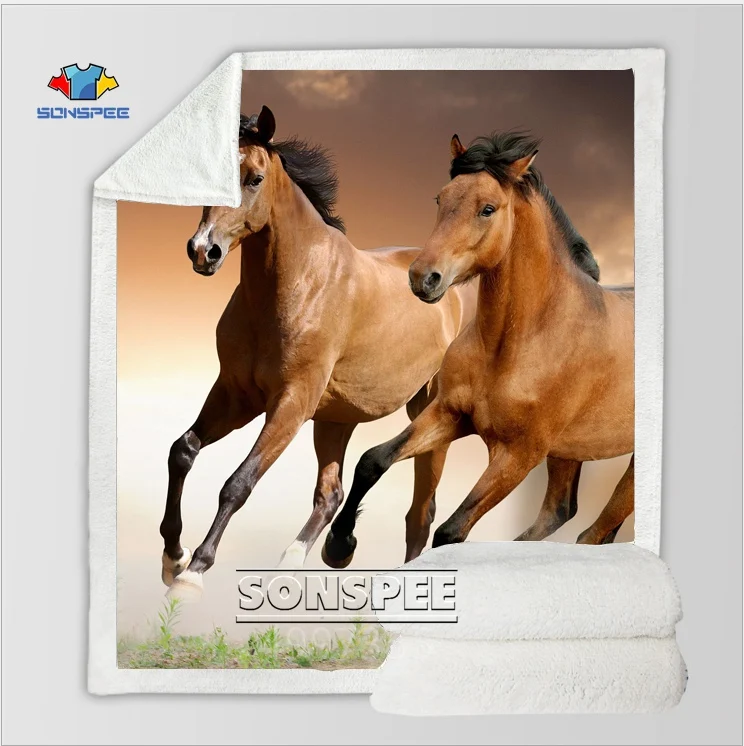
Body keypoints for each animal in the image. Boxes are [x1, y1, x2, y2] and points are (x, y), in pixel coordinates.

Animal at [323, 131, 634, 567]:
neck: (517, 342)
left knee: (593, 531)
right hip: (570, 452)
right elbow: (373, 461)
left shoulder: (517, 455)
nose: (423, 278)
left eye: (487, 209)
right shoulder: (450, 414)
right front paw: (339, 545)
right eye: (440, 198)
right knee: (561, 511)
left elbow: (451, 532)